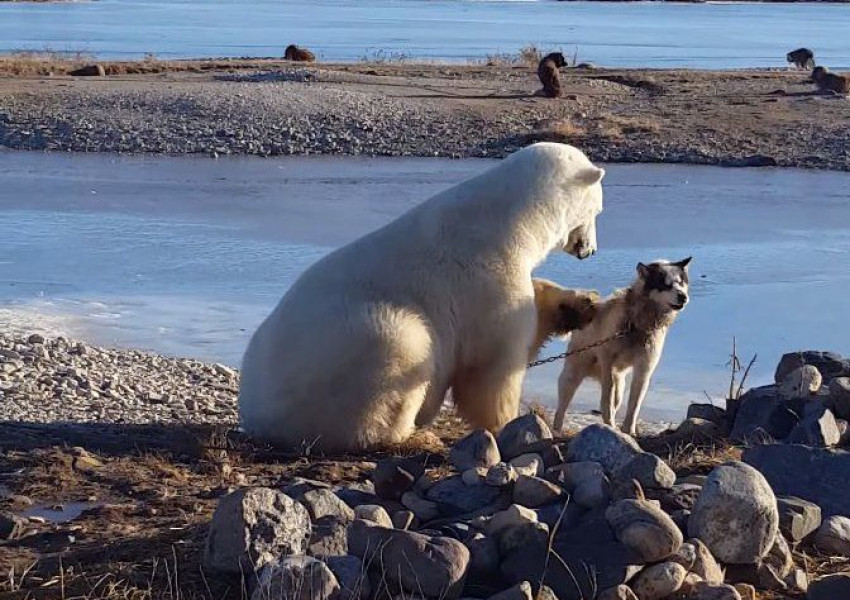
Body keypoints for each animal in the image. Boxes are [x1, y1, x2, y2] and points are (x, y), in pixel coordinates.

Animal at [238, 142, 604, 450]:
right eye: (598, 210)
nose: (590, 250)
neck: (512, 220)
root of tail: (255, 414)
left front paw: (579, 305)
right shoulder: (486, 278)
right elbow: (492, 364)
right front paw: (507, 422)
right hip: (349, 349)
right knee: (404, 347)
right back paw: (409, 432)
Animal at [556, 255, 688, 434]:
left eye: (681, 282)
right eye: (664, 284)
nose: (683, 296)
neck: (637, 324)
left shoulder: (644, 369)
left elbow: (634, 404)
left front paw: (628, 430)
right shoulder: (607, 361)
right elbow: (607, 396)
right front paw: (610, 423)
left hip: (619, 384)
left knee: (615, 399)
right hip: (572, 375)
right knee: (562, 406)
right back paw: (557, 429)